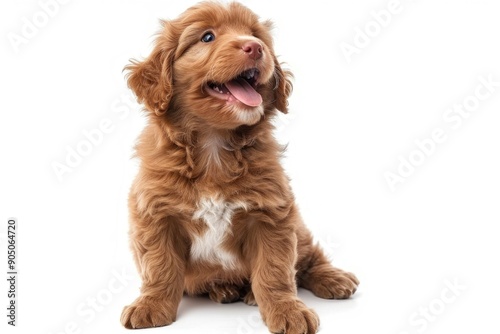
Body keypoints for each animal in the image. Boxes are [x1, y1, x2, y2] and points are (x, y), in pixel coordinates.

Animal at [121, 3, 360, 334]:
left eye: (255, 35)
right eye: (207, 37)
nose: (255, 47)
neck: (213, 146)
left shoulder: (273, 214)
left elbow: (275, 272)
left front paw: (287, 310)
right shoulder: (155, 214)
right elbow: (160, 266)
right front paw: (151, 304)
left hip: (299, 229)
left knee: (309, 259)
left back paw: (332, 279)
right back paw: (226, 290)